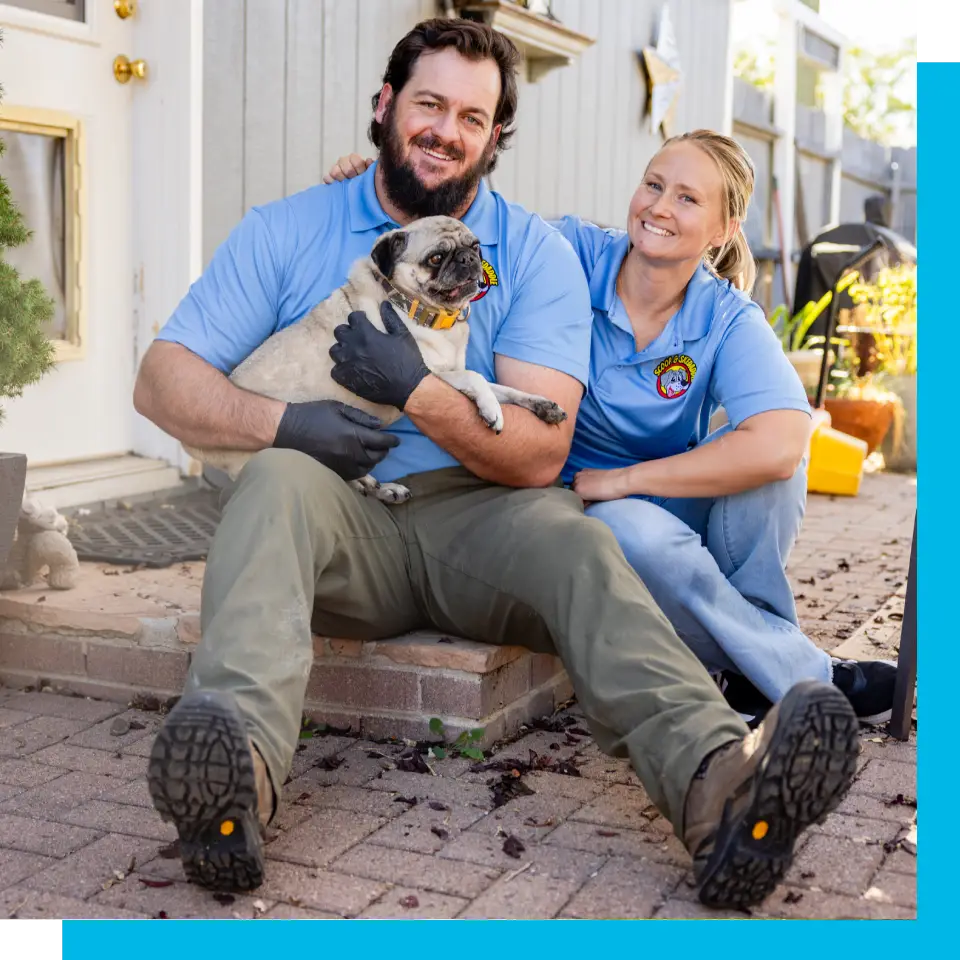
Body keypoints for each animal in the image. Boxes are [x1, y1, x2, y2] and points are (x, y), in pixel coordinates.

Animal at [184, 217, 568, 502]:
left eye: (474, 246)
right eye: (435, 258)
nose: (467, 258)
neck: (414, 307)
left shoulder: (449, 371)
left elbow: (505, 389)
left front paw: (541, 405)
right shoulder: (429, 374)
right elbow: (476, 380)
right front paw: (491, 411)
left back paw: (378, 487)